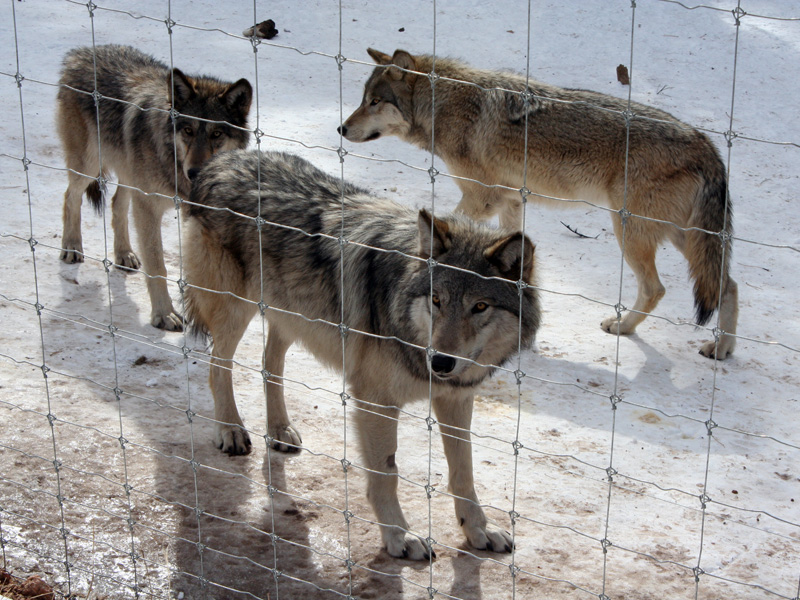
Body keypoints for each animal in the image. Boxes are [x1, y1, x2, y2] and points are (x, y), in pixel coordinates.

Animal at [57, 44, 252, 330]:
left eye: (217, 134)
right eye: (188, 130)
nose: (194, 173)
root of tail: (80, 52)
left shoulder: (188, 213)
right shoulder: (148, 207)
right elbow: (158, 267)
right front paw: (164, 314)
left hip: (128, 174)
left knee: (116, 204)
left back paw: (124, 254)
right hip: (88, 166)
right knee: (70, 196)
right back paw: (71, 247)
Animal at [184, 149, 540, 556]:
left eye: (480, 307)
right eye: (436, 300)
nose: (440, 362)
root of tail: (223, 159)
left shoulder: (455, 399)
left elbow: (463, 474)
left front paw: (479, 529)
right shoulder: (376, 402)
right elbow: (387, 474)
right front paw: (400, 536)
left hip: (291, 314)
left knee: (268, 364)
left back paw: (279, 430)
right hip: (235, 308)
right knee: (218, 367)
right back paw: (230, 430)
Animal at [340, 49, 740, 358]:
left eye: (375, 102)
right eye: (363, 99)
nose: (342, 129)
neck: (444, 105)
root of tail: (707, 145)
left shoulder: (481, 198)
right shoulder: (511, 201)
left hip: (630, 229)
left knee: (658, 288)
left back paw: (627, 327)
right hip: (681, 238)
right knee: (728, 284)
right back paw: (721, 349)